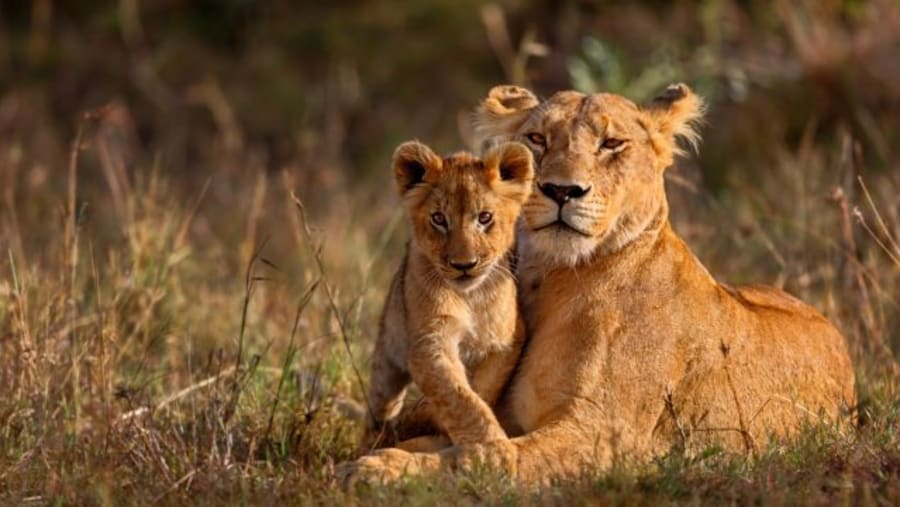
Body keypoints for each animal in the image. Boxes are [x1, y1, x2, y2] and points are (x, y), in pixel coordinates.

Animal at [360, 140, 533, 453]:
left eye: (485, 217)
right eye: (439, 219)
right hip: (386, 359)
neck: (470, 298)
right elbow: (459, 397)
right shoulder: (430, 342)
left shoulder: (507, 340)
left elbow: (480, 390)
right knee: (379, 408)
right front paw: (492, 449)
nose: (464, 265)